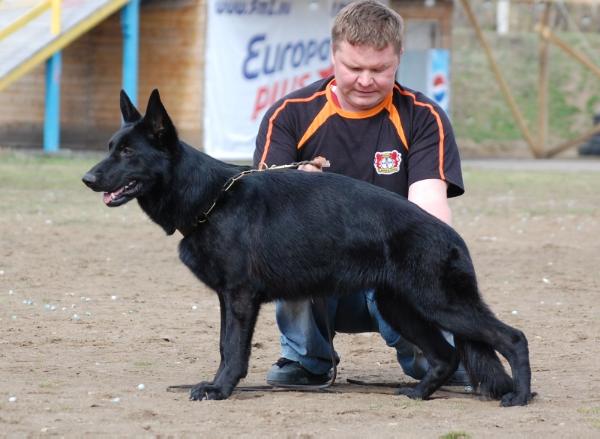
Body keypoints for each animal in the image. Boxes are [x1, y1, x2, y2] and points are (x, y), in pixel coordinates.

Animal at [82, 90, 532, 410]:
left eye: (128, 152)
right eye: (110, 147)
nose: (87, 179)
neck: (212, 198)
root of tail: (452, 237)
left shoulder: (239, 298)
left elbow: (233, 349)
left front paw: (220, 389)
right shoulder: (229, 299)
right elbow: (225, 346)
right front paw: (217, 384)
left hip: (439, 305)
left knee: (513, 338)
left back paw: (520, 396)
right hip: (403, 308)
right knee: (446, 356)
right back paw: (420, 394)